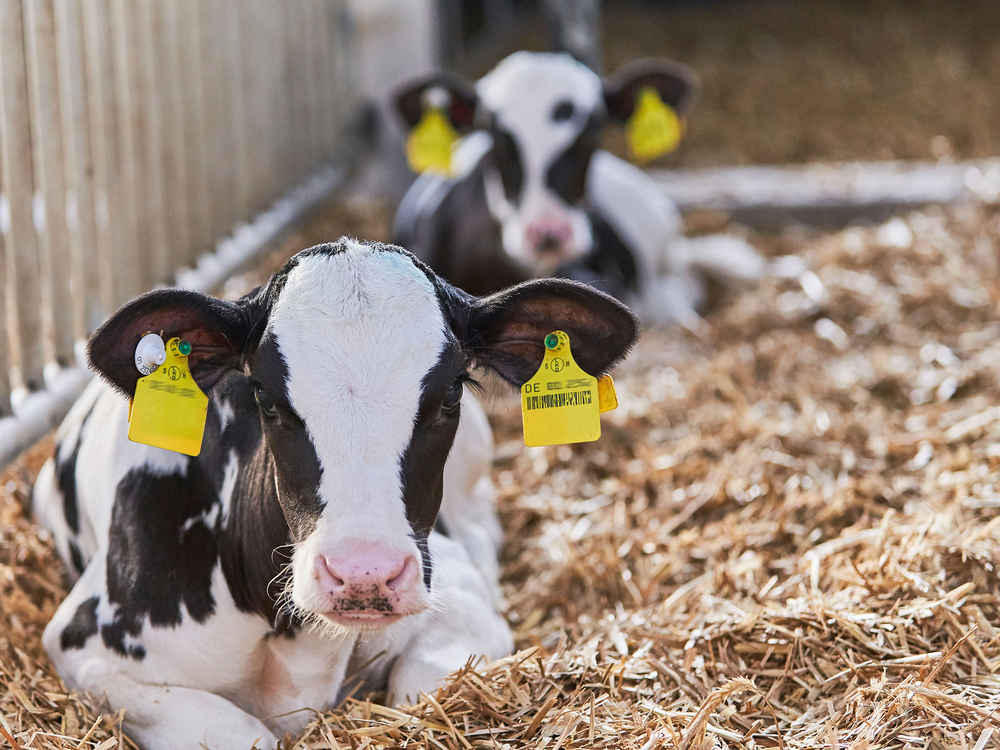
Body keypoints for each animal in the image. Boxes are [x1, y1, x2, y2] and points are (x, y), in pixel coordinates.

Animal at [37, 239, 640, 750]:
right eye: (265, 395)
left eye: (450, 392)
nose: (363, 573)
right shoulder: (84, 649)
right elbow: (240, 733)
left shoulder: (461, 603)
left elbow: (420, 687)